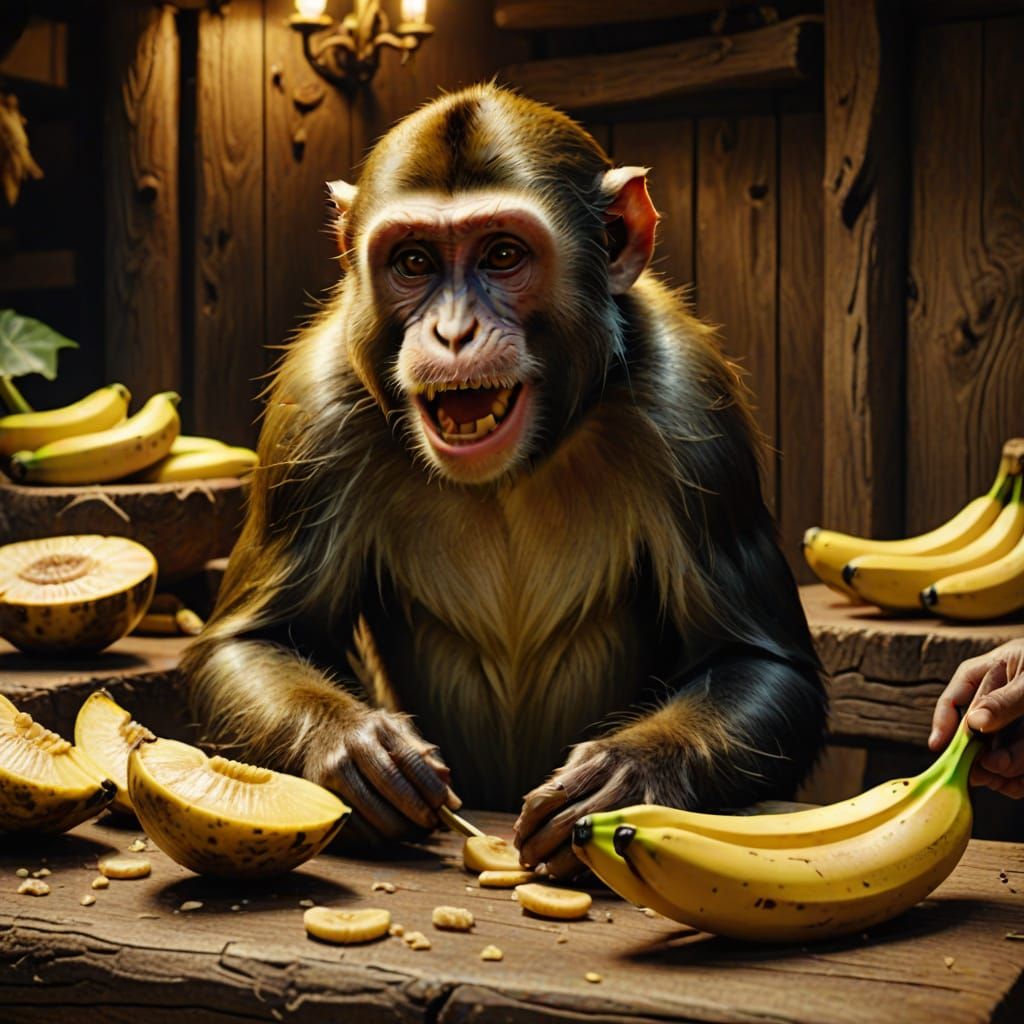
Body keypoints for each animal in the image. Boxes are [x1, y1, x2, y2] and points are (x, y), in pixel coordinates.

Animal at [183, 83, 827, 878]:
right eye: (414, 261)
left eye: (502, 254)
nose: (454, 332)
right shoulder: (315, 406)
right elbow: (259, 637)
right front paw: (357, 753)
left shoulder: (693, 404)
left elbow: (758, 659)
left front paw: (624, 777)